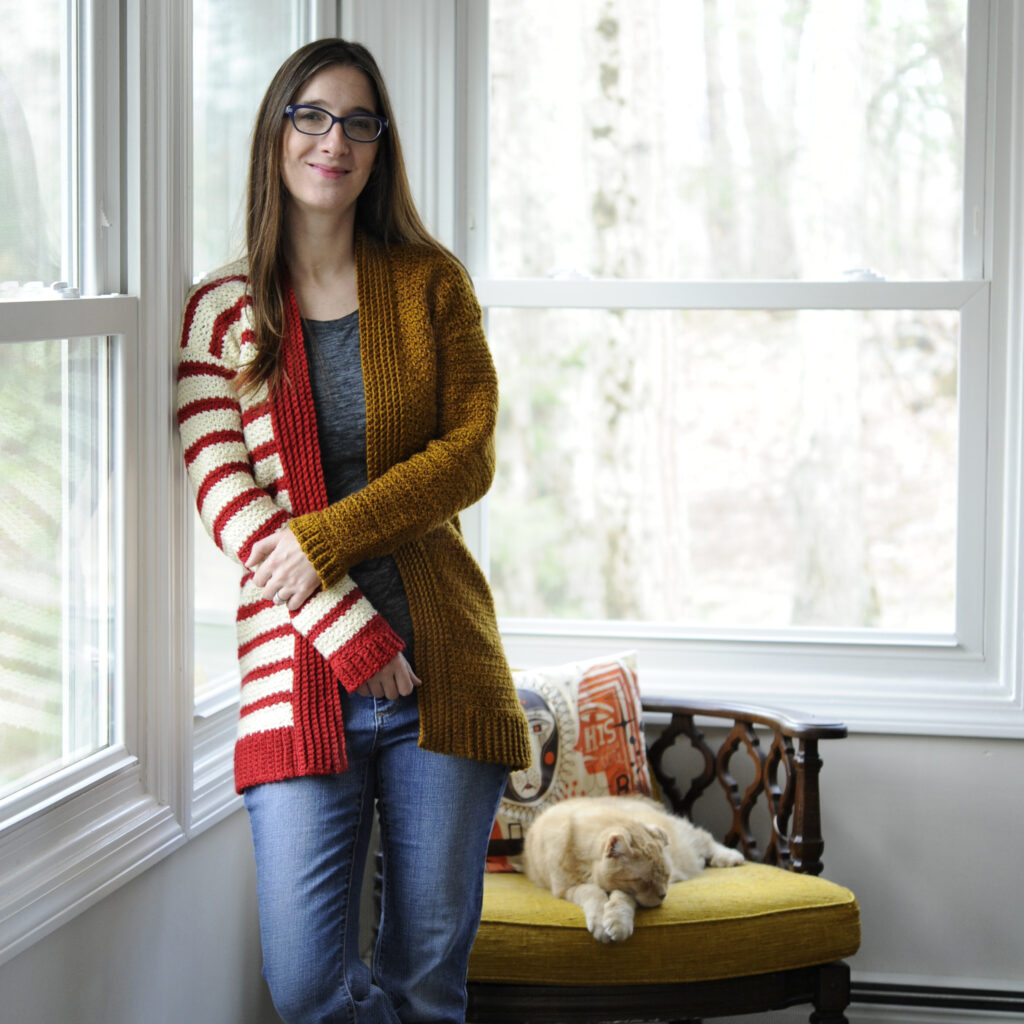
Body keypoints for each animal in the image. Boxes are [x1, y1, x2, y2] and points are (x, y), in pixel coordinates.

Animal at [524, 790, 741, 942]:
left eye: (666, 877)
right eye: (645, 881)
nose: (663, 895)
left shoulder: (626, 891)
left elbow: (621, 899)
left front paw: (617, 923)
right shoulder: (566, 889)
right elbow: (593, 893)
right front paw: (600, 924)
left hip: (687, 839)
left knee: (706, 839)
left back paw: (730, 857)